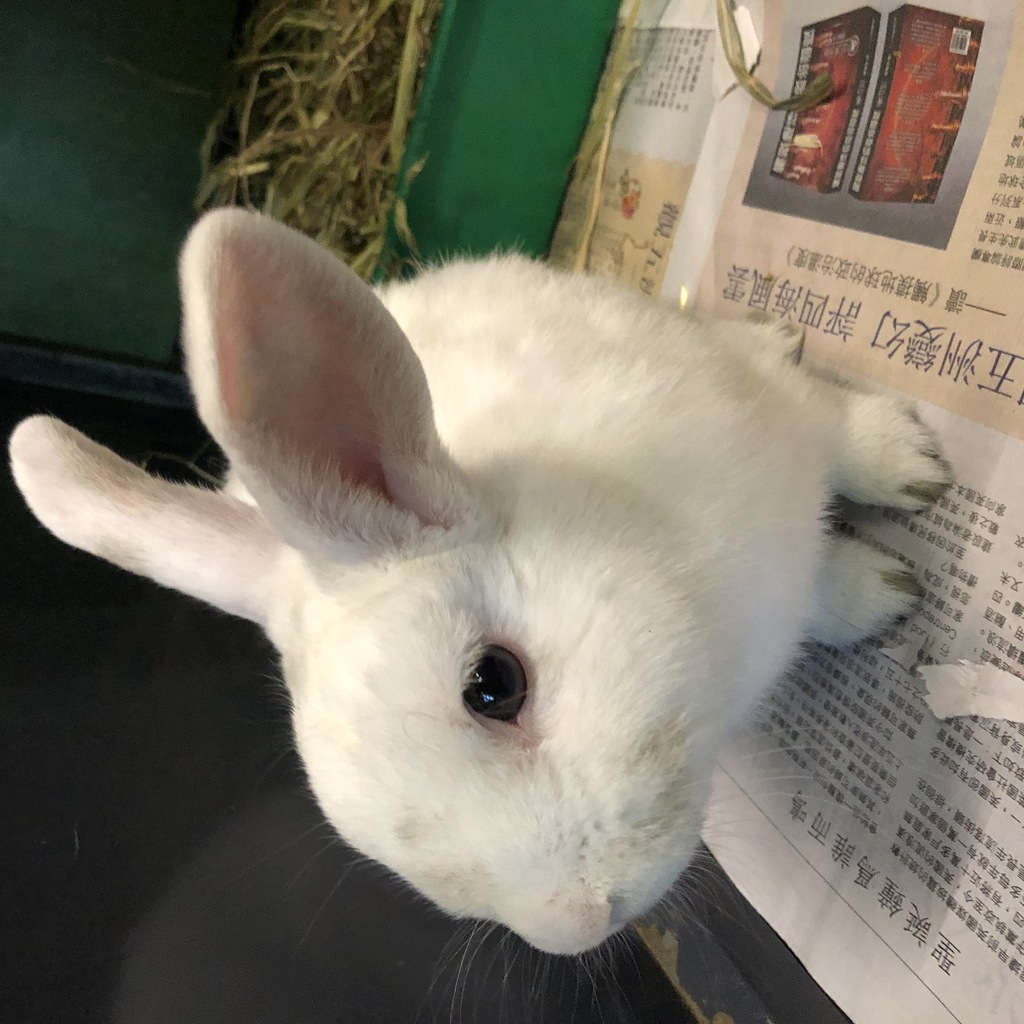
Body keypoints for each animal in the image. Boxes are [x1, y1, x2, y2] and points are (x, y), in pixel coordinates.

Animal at [8, 208, 952, 956]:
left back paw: (786, 340)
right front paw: (888, 590)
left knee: (760, 354)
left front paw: (914, 483)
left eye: (493, 685)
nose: (581, 923)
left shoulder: (771, 427)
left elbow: (835, 441)